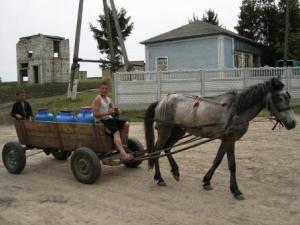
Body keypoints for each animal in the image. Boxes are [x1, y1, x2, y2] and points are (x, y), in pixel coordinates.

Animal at [144, 77, 296, 199]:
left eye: (288, 96)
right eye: (279, 98)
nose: (293, 122)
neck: (236, 110)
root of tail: (161, 101)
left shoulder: (226, 139)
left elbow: (217, 160)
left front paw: (207, 181)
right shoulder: (229, 139)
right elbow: (232, 165)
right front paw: (236, 190)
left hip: (178, 131)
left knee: (167, 148)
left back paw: (175, 171)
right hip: (165, 130)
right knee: (157, 150)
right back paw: (159, 178)